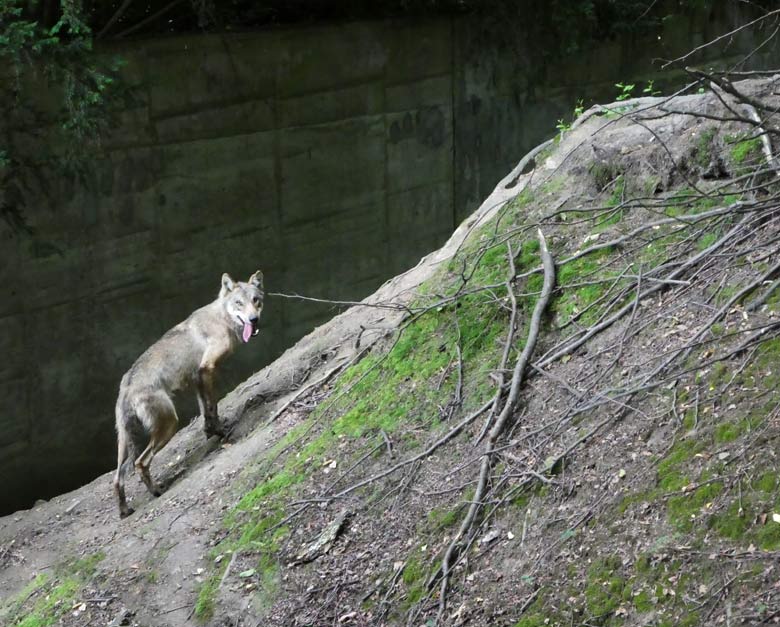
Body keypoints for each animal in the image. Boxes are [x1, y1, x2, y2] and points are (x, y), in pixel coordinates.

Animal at [113, 272, 266, 520]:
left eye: (256, 300)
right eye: (239, 303)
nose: (253, 320)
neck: (222, 318)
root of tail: (126, 388)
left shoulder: (197, 379)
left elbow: (206, 411)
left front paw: (212, 432)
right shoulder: (207, 369)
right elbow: (213, 406)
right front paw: (221, 432)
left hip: (125, 443)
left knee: (117, 479)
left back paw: (125, 511)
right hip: (169, 426)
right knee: (140, 463)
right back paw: (156, 491)